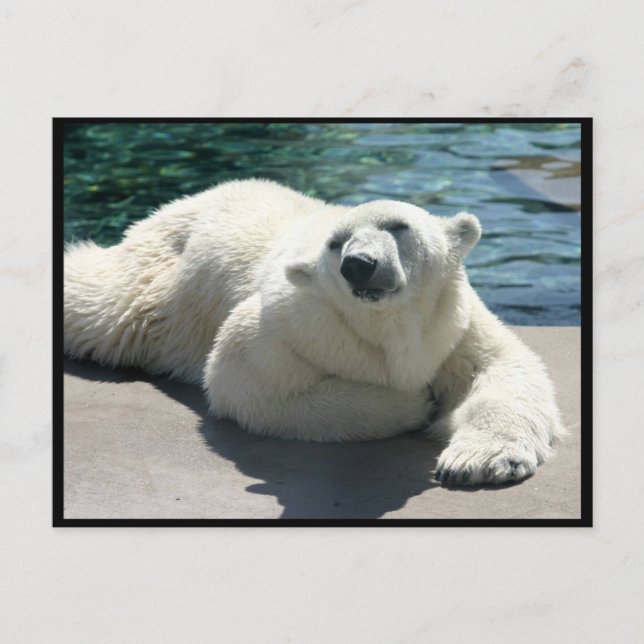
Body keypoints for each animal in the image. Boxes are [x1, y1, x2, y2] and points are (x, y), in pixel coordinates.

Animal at [64, 178, 564, 486]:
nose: (359, 264)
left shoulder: (451, 326)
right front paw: (413, 402)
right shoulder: (294, 321)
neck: (387, 324)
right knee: (100, 302)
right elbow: (247, 380)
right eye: (335, 243)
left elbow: (504, 369)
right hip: (159, 285)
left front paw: (480, 462)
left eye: (398, 226)